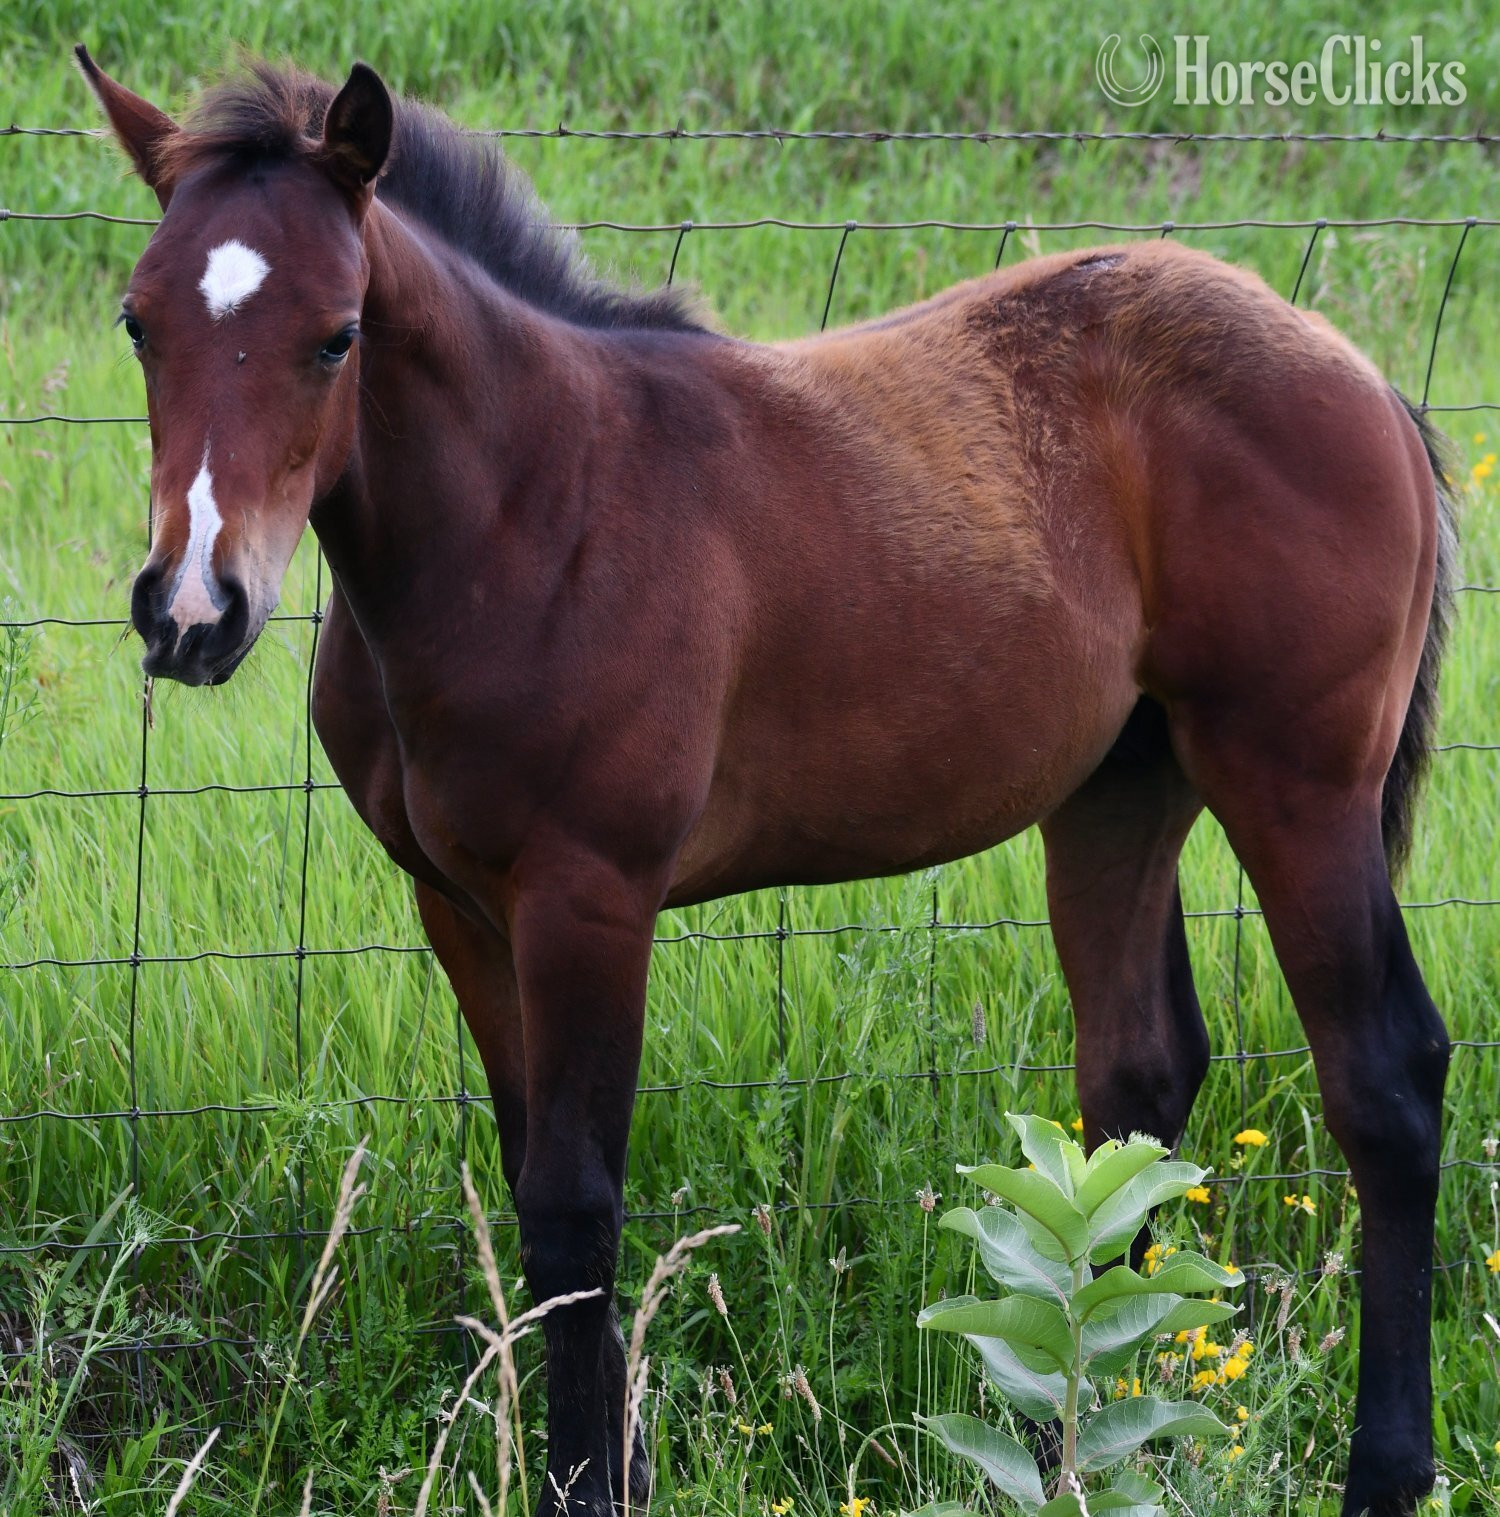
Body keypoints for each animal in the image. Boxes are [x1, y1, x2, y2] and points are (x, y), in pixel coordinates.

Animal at [77, 49, 1455, 1517]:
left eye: (337, 334)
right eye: (138, 323)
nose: (193, 611)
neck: (527, 508)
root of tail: (1359, 374)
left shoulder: (589, 893)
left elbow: (574, 1197)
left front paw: (589, 1480)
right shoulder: (457, 901)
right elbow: (526, 1167)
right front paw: (610, 1456)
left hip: (1296, 779)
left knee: (1383, 1077)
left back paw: (1381, 1468)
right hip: (1119, 788)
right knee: (1135, 1080)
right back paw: (1064, 1455)